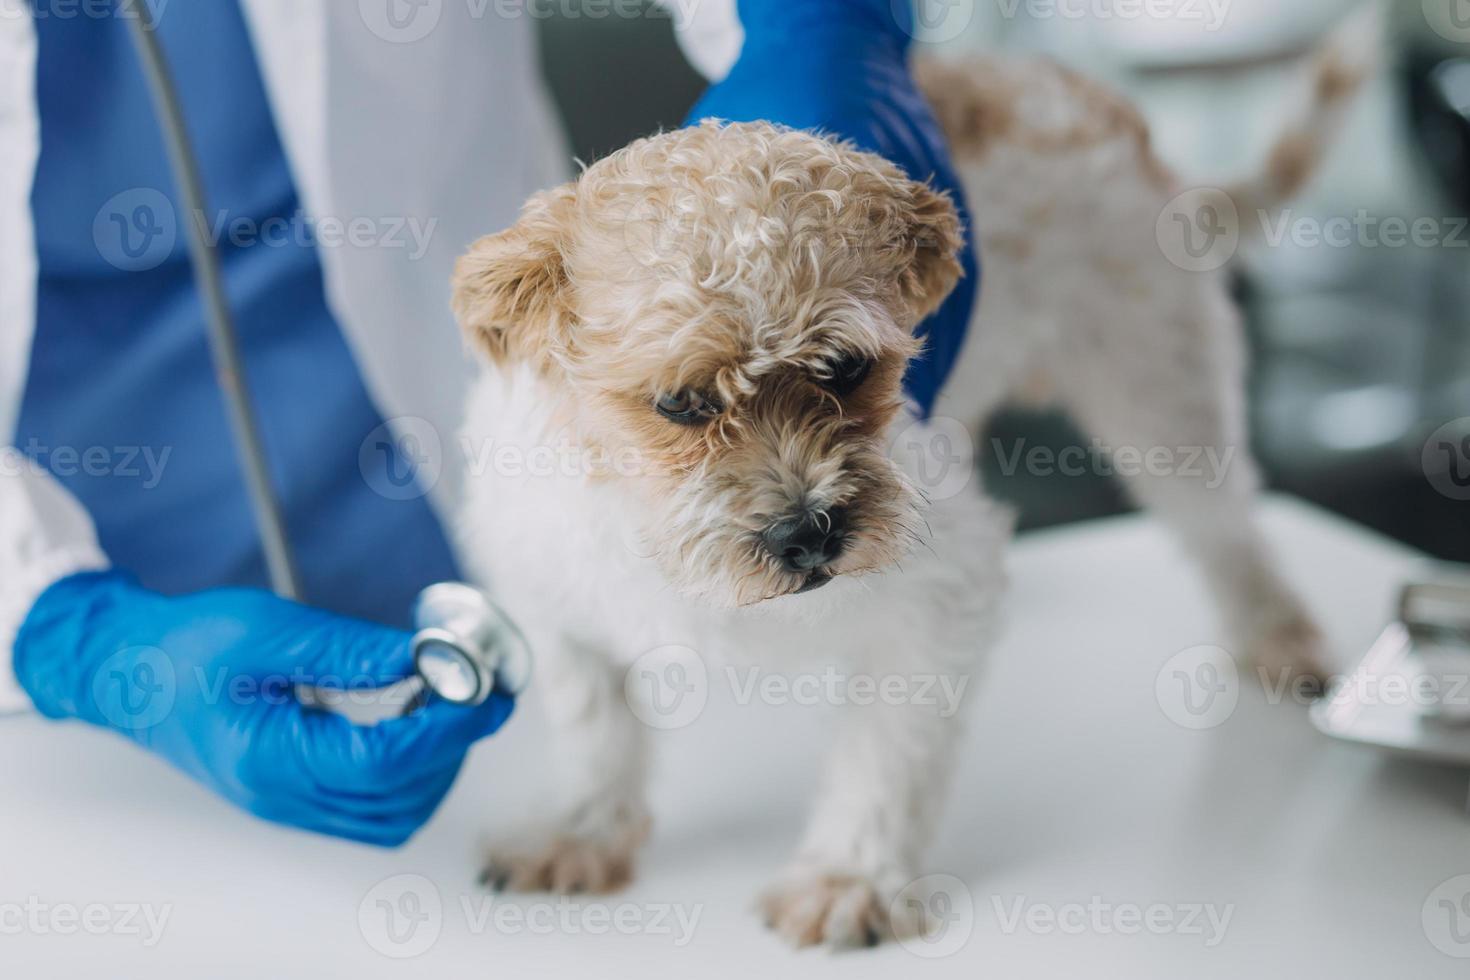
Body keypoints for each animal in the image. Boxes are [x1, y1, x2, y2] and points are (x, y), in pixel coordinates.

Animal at [449, 17, 1375, 952]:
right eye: (680, 403)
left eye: (847, 368)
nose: (808, 533)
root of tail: (1097, 101)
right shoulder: (545, 587)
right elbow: (593, 726)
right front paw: (580, 831)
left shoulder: (943, 595)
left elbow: (886, 753)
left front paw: (849, 877)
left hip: (1163, 399)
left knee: (1229, 531)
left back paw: (1279, 634)